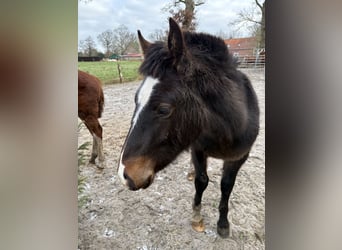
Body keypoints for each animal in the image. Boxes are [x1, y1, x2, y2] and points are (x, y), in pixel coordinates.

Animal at [117, 18, 260, 237]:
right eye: (136, 100)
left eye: (164, 109)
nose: (125, 175)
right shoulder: (198, 149)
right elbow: (202, 181)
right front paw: (197, 217)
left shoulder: (239, 157)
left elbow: (226, 186)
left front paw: (223, 223)